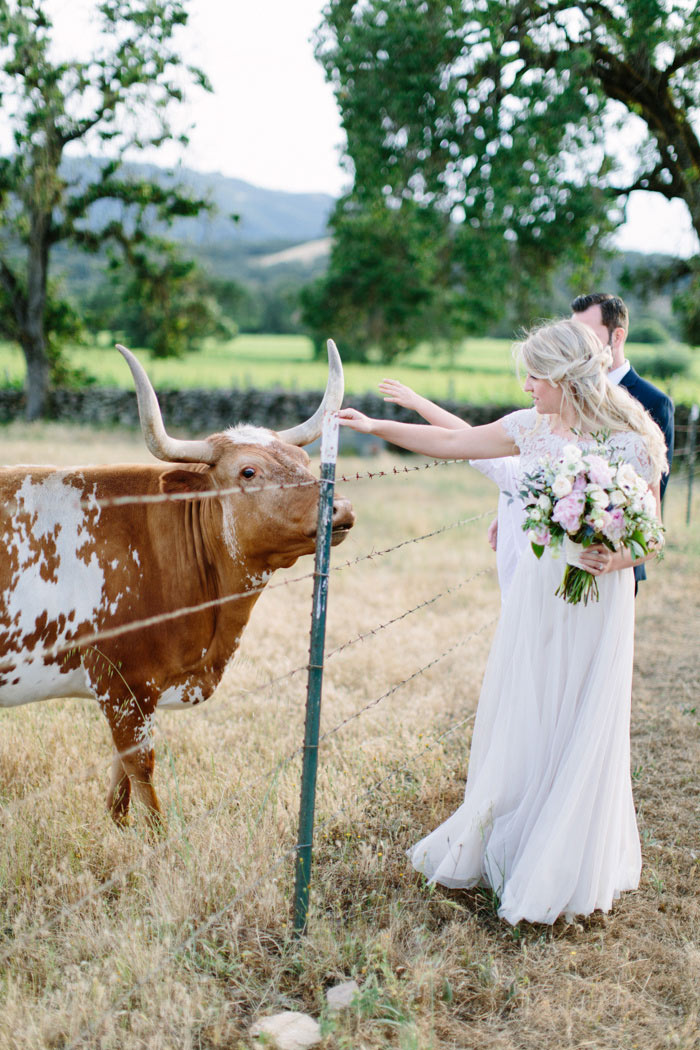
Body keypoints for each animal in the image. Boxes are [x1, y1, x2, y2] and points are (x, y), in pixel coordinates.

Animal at [0, 344, 352, 827]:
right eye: (248, 472)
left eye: (304, 462)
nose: (341, 508)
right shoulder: (122, 683)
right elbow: (140, 767)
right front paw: (156, 838)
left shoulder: (140, 693)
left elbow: (122, 777)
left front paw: (119, 829)